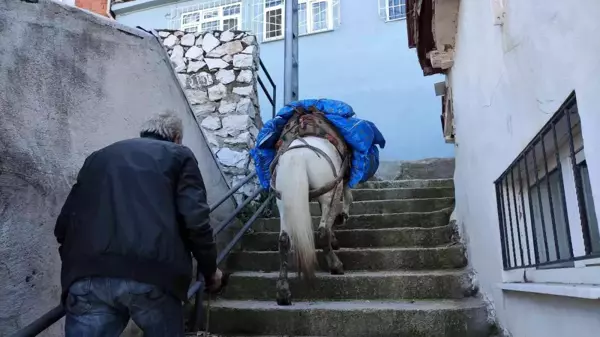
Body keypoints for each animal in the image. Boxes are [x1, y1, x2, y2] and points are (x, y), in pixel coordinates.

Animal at [274, 135, 354, 304]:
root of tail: (296, 155)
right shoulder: (338, 186)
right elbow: (346, 199)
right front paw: (340, 221)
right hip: (328, 192)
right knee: (322, 232)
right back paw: (336, 265)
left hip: (283, 200)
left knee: (284, 240)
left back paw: (283, 292)